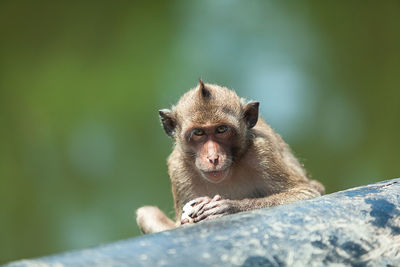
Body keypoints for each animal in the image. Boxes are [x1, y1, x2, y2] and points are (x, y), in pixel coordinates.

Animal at [136, 80, 324, 234]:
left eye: (221, 129)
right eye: (198, 133)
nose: (213, 157)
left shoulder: (262, 151)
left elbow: (304, 193)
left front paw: (228, 207)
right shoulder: (178, 167)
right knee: (145, 213)